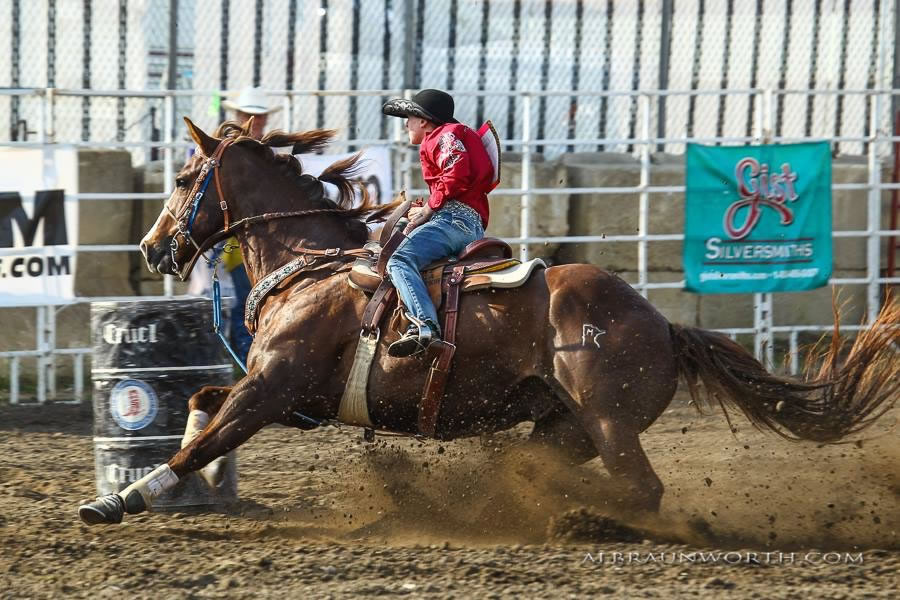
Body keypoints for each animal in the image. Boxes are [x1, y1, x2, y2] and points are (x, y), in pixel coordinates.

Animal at [79, 118, 900, 524]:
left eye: (185, 177)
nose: (151, 248)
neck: (312, 263)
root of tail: (663, 325)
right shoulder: (278, 394)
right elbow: (197, 405)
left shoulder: (273, 388)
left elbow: (199, 438)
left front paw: (115, 501)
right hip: (563, 427)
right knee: (560, 470)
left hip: (608, 422)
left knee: (644, 490)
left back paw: (586, 521)